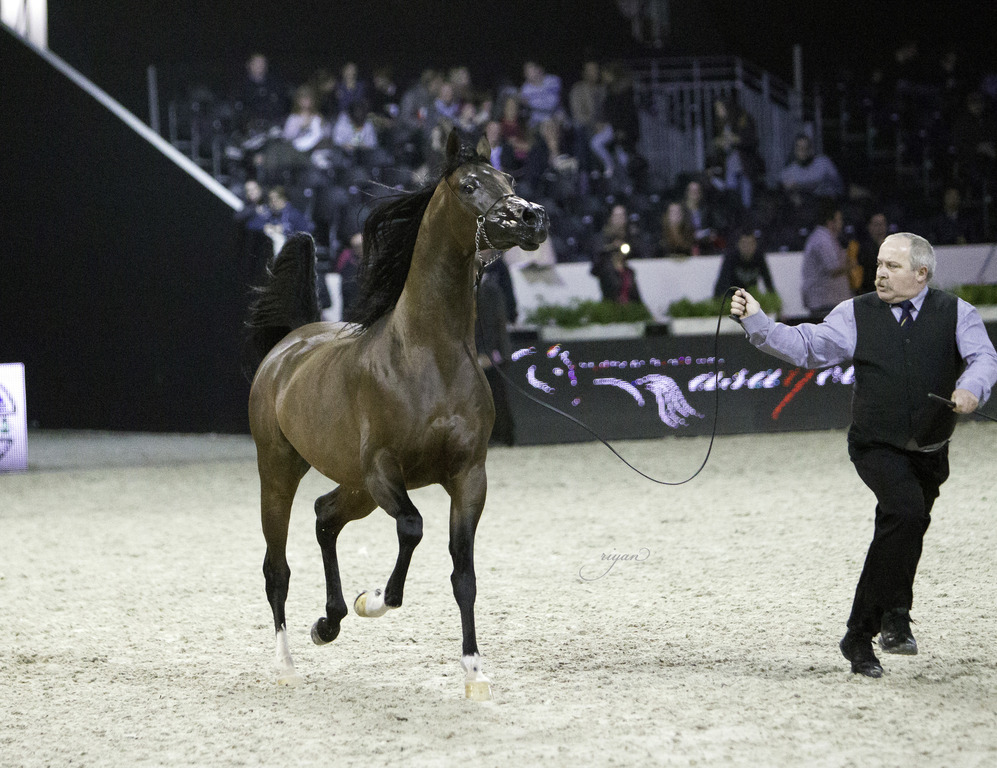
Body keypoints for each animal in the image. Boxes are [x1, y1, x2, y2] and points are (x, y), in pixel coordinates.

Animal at [245, 132, 548, 699]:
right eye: (469, 185)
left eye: (510, 179)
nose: (531, 217)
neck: (430, 357)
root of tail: (288, 345)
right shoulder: (386, 471)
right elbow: (412, 528)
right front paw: (375, 601)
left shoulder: (468, 476)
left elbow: (463, 573)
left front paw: (474, 672)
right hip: (279, 472)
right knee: (277, 568)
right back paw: (287, 664)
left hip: (355, 487)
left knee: (324, 516)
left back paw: (328, 623)